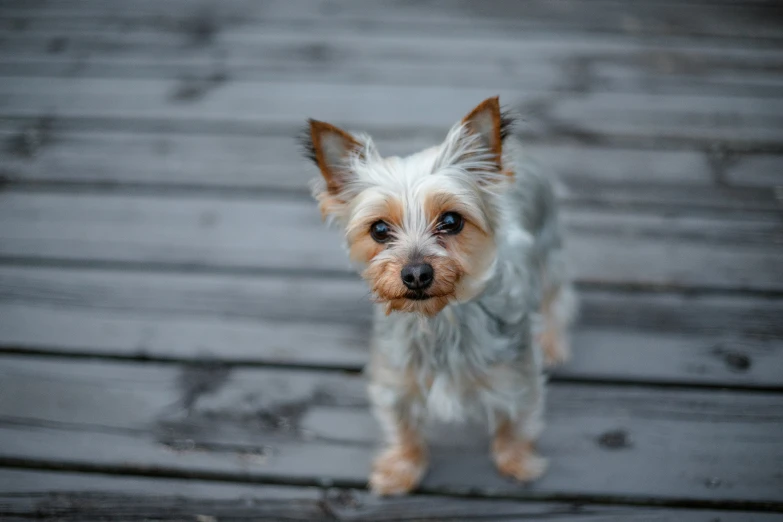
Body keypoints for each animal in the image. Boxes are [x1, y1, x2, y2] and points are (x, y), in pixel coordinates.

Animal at [304, 96, 580, 492]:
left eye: (451, 221)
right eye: (379, 230)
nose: (416, 273)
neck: (440, 319)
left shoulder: (518, 375)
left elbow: (516, 422)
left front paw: (517, 462)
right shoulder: (394, 382)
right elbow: (403, 428)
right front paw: (402, 469)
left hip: (551, 255)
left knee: (556, 301)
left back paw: (555, 344)